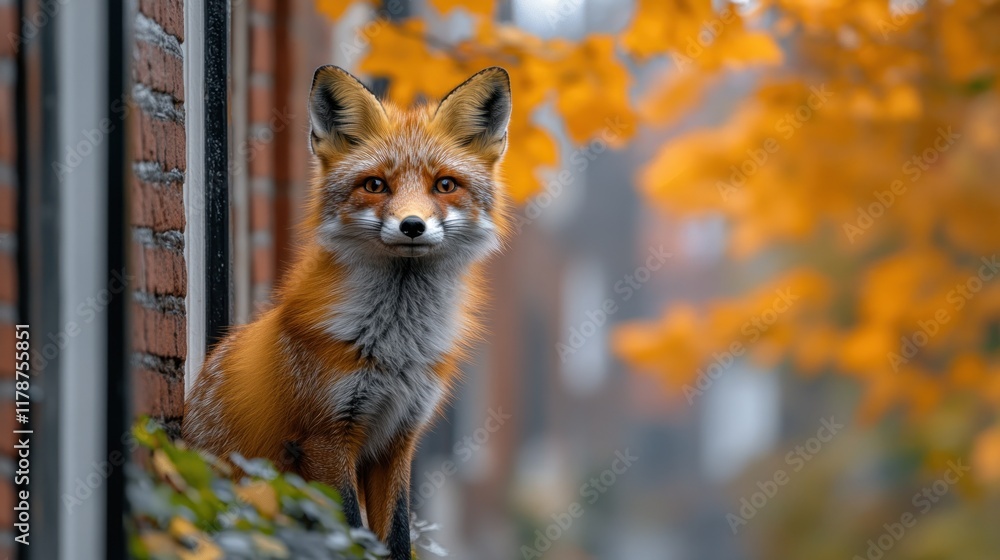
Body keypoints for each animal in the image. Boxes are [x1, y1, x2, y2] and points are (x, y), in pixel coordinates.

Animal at [182, 65, 512, 559]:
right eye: (375, 184)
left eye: (445, 184)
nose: (412, 225)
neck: (395, 348)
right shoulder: (325, 439)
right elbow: (349, 534)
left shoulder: (397, 441)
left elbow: (396, 536)